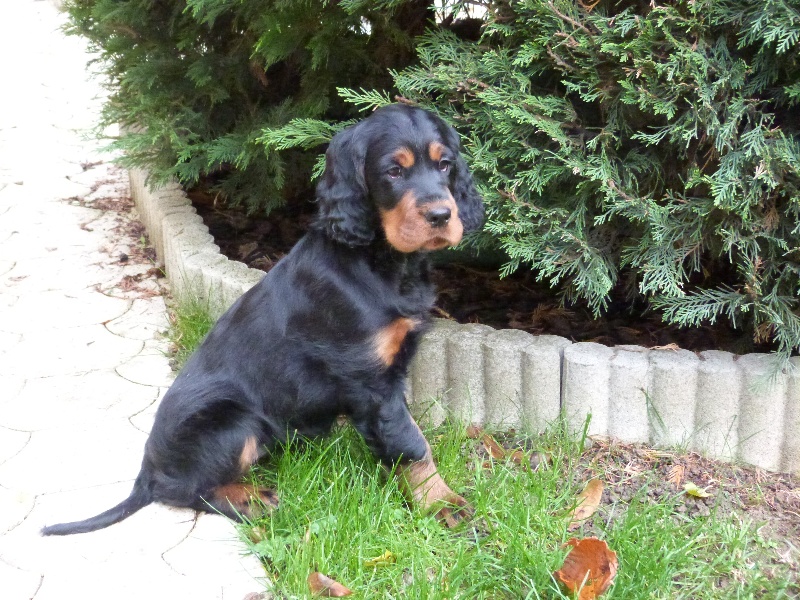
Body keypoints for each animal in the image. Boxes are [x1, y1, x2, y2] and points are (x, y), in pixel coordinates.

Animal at [41, 104, 484, 536]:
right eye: (394, 171)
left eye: (445, 165)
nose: (442, 215)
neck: (381, 261)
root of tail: (146, 471)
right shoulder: (369, 378)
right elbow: (411, 441)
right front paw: (443, 504)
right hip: (234, 421)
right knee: (183, 490)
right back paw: (250, 500)